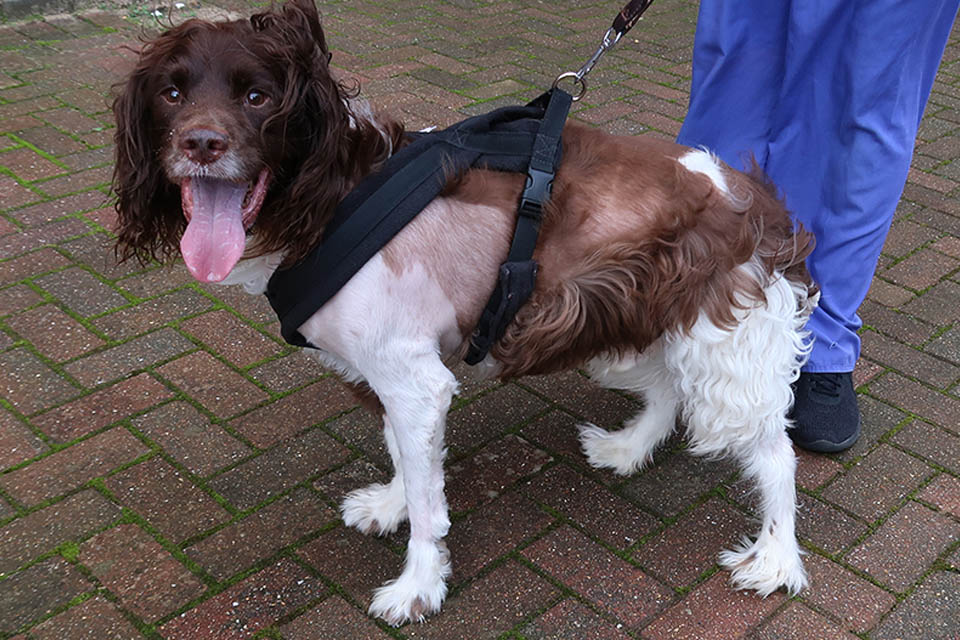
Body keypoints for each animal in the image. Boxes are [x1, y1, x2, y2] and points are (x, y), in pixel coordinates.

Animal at [112, 0, 816, 624]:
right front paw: (390, 505)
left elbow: (430, 506)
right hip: (631, 325)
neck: (333, 197)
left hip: (721, 355)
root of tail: (754, 198)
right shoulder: (387, 378)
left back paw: (776, 559)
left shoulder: (414, 379)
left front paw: (419, 587)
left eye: (258, 97)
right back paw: (630, 448)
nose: (201, 143)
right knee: (668, 386)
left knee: (776, 453)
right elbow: (404, 458)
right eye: (170, 93)